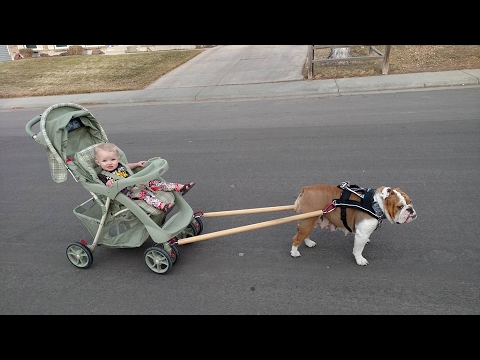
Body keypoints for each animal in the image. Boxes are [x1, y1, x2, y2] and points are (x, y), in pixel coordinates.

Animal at [290, 184, 418, 266]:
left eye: (410, 202)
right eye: (400, 206)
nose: (410, 209)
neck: (376, 204)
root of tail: (305, 190)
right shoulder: (362, 234)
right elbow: (358, 249)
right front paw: (360, 259)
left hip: (309, 221)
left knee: (304, 234)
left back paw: (309, 243)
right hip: (307, 221)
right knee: (297, 238)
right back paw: (295, 252)